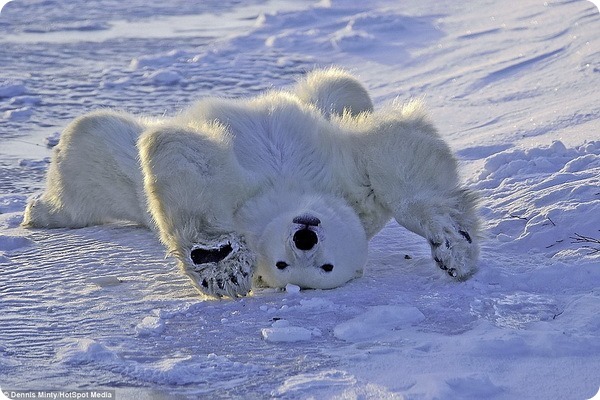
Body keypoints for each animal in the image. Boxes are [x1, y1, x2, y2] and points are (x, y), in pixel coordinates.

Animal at [23, 67, 480, 296]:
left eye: (326, 267)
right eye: (281, 263)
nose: (304, 238)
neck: (288, 193)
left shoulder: (354, 194)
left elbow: (398, 156)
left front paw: (452, 245)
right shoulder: (268, 193)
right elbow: (189, 161)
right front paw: (220, 261)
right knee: (90, 141)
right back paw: (38, 212)